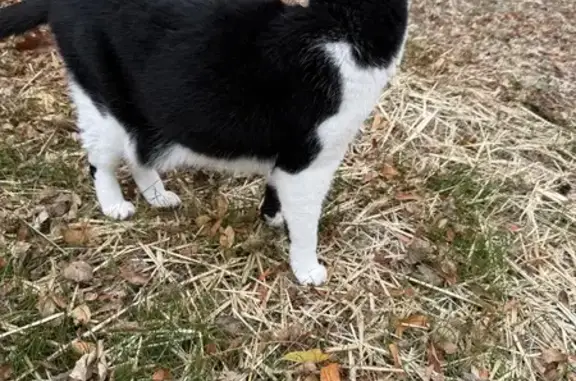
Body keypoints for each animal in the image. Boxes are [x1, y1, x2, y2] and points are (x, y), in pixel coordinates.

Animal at [0, 0, 408, 284]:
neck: (338, 27)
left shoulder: (291, 161)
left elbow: (275, 190)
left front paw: (275, 220)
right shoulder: (309, 162)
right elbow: (307, 219)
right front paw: (306, 267)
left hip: (142, 107)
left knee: (139, 150)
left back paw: (157, 196)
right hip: (103, 102)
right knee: (101, 160)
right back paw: (114, 204)